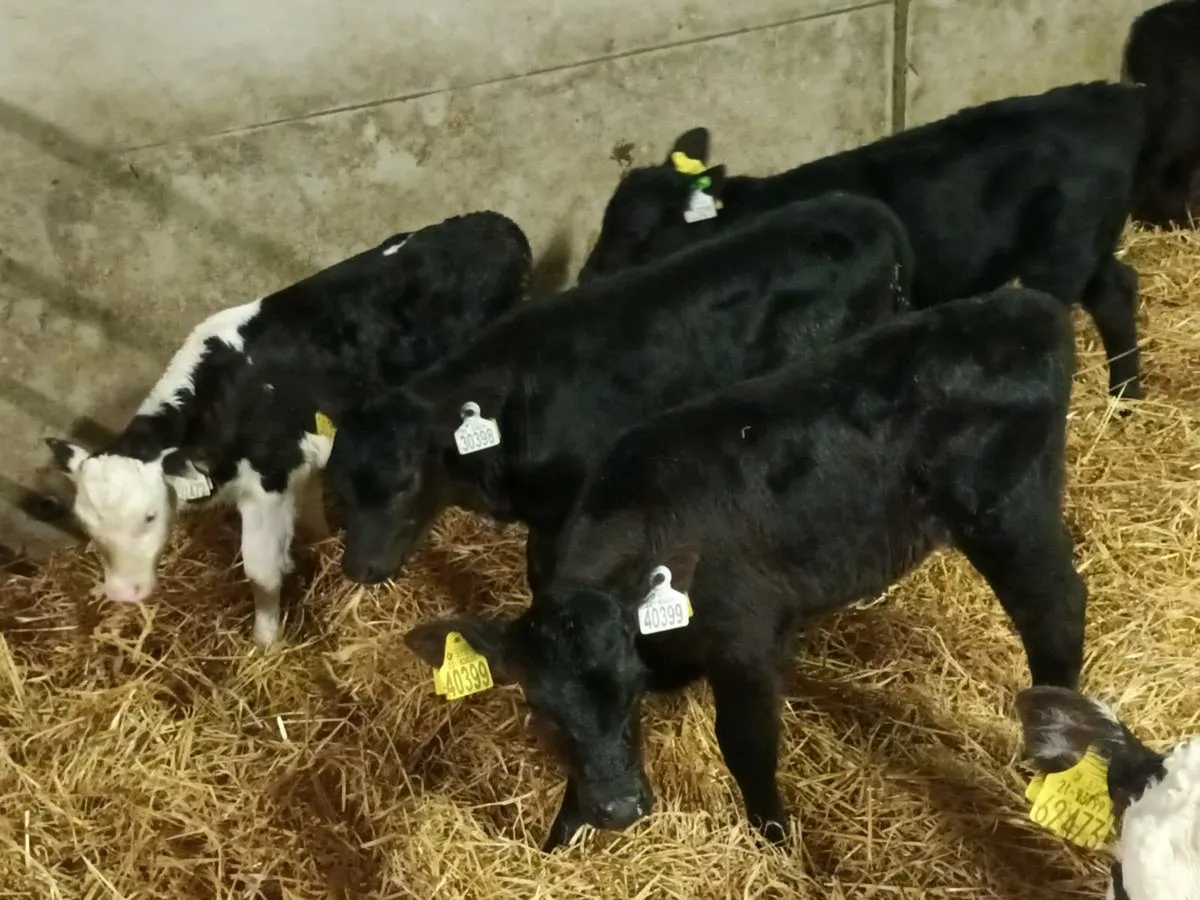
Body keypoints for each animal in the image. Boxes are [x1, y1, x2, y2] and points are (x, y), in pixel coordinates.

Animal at [45, 210, 532, 647]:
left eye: (149, 516)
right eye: (85, 522)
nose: (123, 594)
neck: (228, 395)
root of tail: (498, 224)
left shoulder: (268, 482)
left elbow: (260, 571)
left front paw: (266, 642)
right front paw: (318, 540)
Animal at [404, 287, 1087, 852]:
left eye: (630, 689)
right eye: (540, 709)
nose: (620, 809)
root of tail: (1024, 308)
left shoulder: (747, 644)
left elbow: (747, 748)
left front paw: (776, 841)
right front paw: (559, 839)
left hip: (1005, 513)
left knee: (1055, 608)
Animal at [577, 81, 1147, 401]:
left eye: (637, 234)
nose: (586, 279)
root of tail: (1107, 98)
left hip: (1061, 255)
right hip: (1087, 244)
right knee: (1116, 292)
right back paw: (1126, 397)